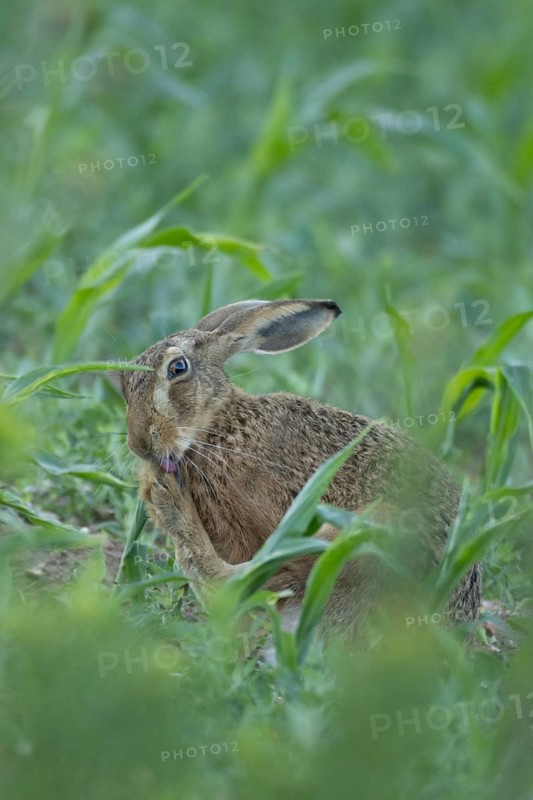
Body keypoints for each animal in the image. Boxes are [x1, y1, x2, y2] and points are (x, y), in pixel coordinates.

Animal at [120, 299, 481, 641]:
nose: (140, 444)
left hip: (366, 533)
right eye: (124, 379)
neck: (218, 427)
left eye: (177, 368)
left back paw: (166, 499)